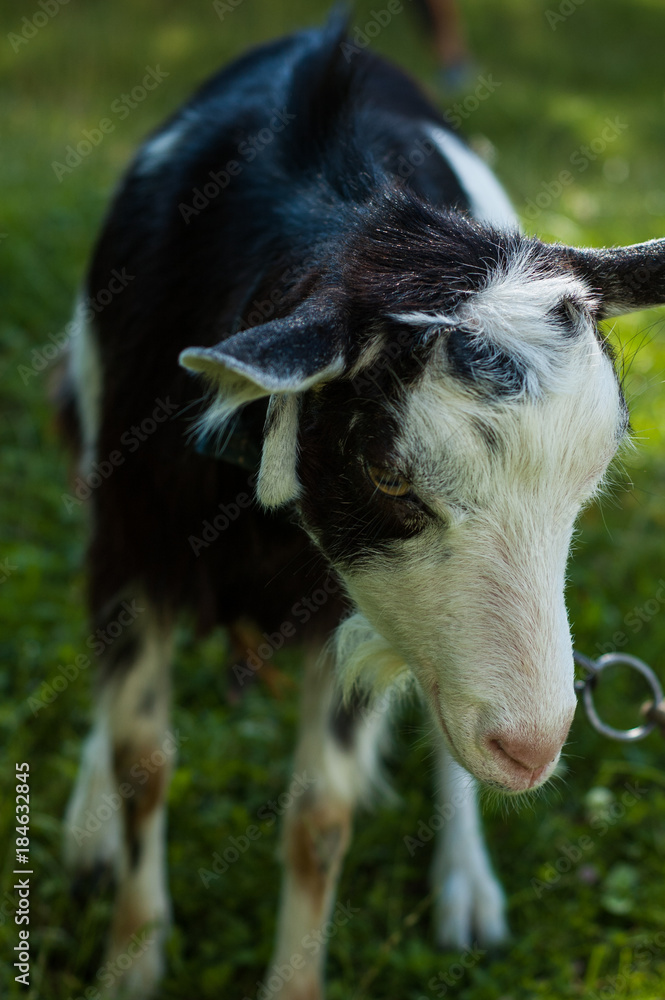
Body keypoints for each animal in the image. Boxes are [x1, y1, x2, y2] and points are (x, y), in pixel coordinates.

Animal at [59, 15, 665, 998]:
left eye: (593, 477)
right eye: (385, 473)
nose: (532, 750)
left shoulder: (349, 604)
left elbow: (320, 817)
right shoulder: (132, 538)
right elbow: (141, 757)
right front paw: (130, 963)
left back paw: (466, 887)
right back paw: (87, 829)